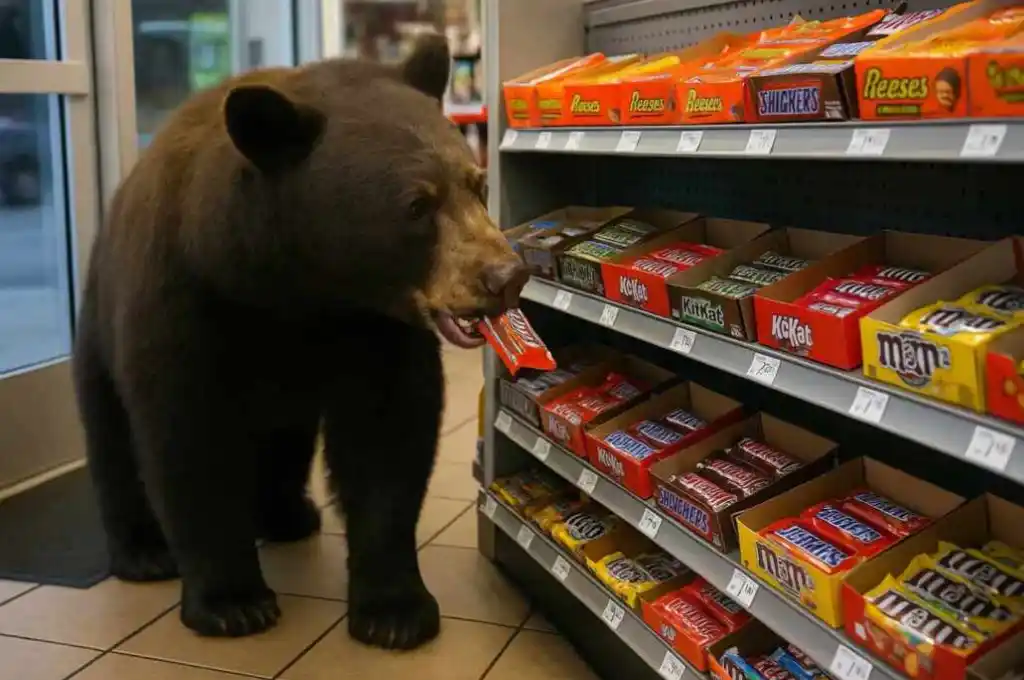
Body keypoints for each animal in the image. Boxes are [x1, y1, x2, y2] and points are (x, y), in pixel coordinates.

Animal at [72, 34, 528, 650]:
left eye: (478, 185)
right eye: (417, 204)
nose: (505, 275)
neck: (295, 288)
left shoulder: (372, 330)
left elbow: (387, 438)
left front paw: (395, 610)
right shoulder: (188, 304)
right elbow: (188, 439)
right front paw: (233, 603)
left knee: (282, 440)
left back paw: (288, 514)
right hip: (100, 324)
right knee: (111, 436)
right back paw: (142, 552)